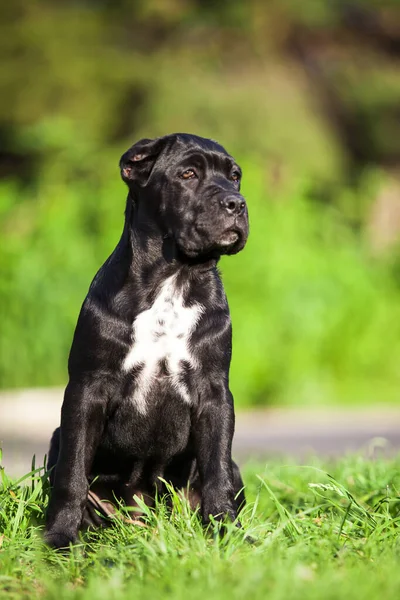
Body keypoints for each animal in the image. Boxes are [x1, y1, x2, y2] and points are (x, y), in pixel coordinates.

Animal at [45, 135, 248, 548]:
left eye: (235, 176)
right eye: (188, 174)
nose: (236, 202)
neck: (175, 279)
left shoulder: (215, 394)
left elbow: (217, 469)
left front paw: (226, 531)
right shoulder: (87, 389)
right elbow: (72, 472)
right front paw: (60, 537)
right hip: (56, 441)